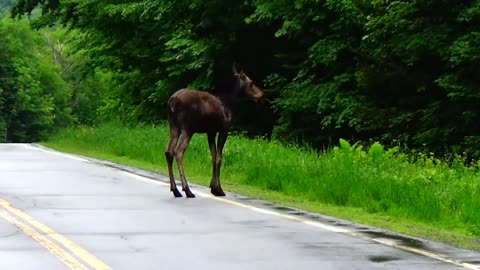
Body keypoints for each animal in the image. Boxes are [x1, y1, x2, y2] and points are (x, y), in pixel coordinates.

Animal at [166, 67, 266, 198]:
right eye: (251, 82)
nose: (262, 94)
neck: (233, 104)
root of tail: (172, 101)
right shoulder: (224, 129)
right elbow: (219, 158)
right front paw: (218, 189)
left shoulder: (211, 131)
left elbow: (213, 156)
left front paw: (212, 186)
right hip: (187, 128)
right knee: (178, 152)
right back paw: (187, 190)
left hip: (174, 126)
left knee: (169, 151)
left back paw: (175, 190)